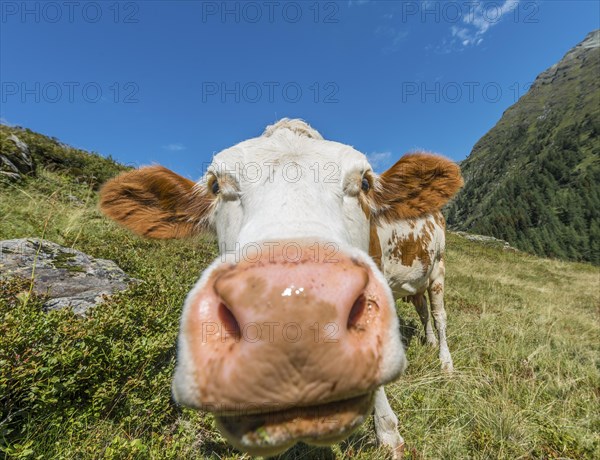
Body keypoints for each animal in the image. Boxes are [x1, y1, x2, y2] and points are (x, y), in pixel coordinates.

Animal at [99, 118, 464, 456]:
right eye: (215, 185)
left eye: (364, 182)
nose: (294, 313)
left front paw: (388, 434)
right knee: (423, 310)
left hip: (439, 267)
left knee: (440, 315)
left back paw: (446, 363)